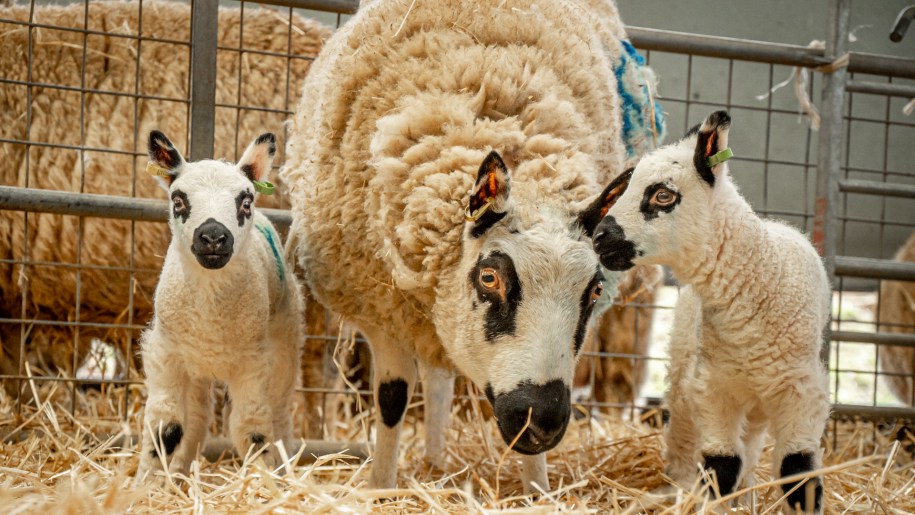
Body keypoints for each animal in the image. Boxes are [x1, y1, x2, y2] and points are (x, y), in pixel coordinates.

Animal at [592, 111, 832, 512]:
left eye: (663, 195)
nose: (599, 238)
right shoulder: (713, 387)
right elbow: (721, 464)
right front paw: (711, 501)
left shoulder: (801, 391)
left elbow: (798, 471)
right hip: (683, 376)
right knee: (686, 442)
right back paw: (681, 488)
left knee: (751, 446)